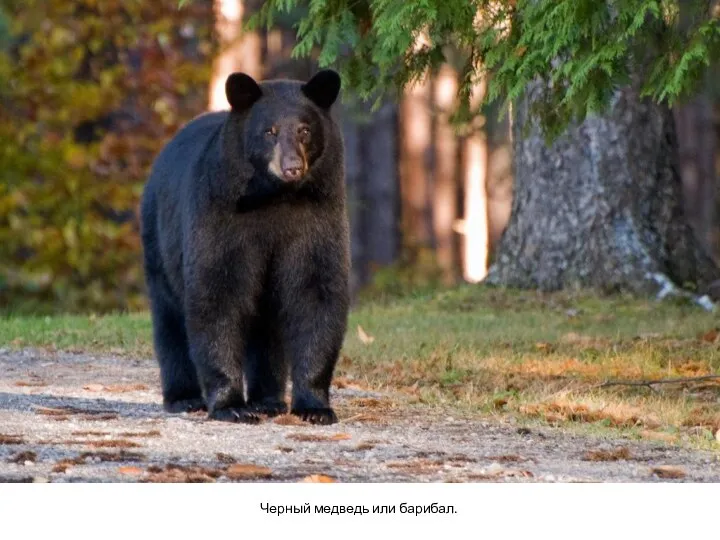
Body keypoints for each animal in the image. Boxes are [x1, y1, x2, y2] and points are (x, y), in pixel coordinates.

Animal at [140, 70, 348, 426]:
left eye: (305, 130)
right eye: (269, 131)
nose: (292, 167)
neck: (274, 197)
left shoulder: (318, 216)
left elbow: (317, 292)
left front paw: (315, 407)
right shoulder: (222, 215)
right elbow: (217, 292)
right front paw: (231, 405)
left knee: (266, 328)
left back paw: (268, 400)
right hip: (159, 238)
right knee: (170, 318)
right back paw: (184, 397)